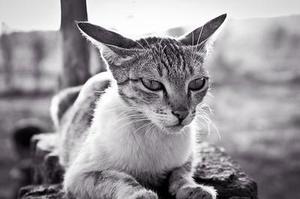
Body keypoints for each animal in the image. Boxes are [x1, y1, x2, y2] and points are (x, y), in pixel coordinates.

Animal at [52, 14, 227, 199]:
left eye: (197, 83)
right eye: (152, 84)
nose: (182, 113)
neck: (153, 133)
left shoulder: (188, 157)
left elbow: (181, 173)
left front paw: (192, 187)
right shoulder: (79, 175)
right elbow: (117, 177)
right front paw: (140, 193)